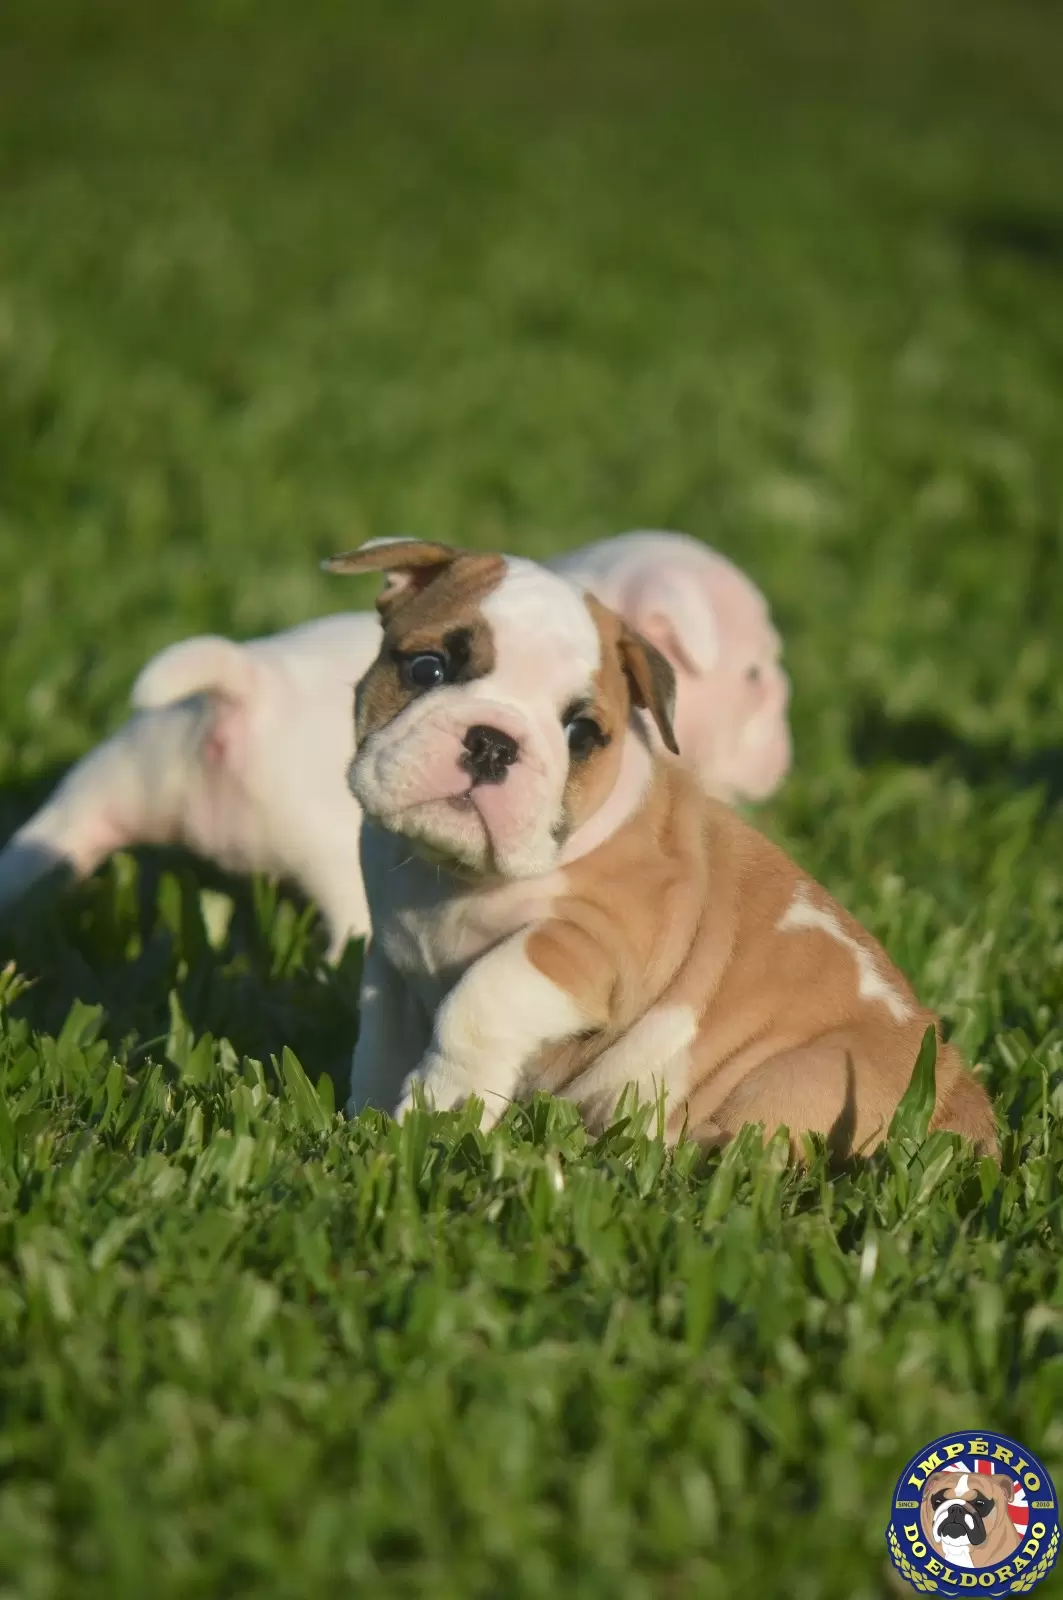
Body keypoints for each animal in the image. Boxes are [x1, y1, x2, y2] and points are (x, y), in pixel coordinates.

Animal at [329, 534, 998, 1152]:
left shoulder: (591, 945)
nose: (493, 743)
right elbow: (377, 1044)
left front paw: (439, 1110)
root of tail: (959, 1098)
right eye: (427, 669)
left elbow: (479, 998)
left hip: (802, 1073)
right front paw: (371, 1125)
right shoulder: (391, 966)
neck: (450, 876)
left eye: (581, 734)